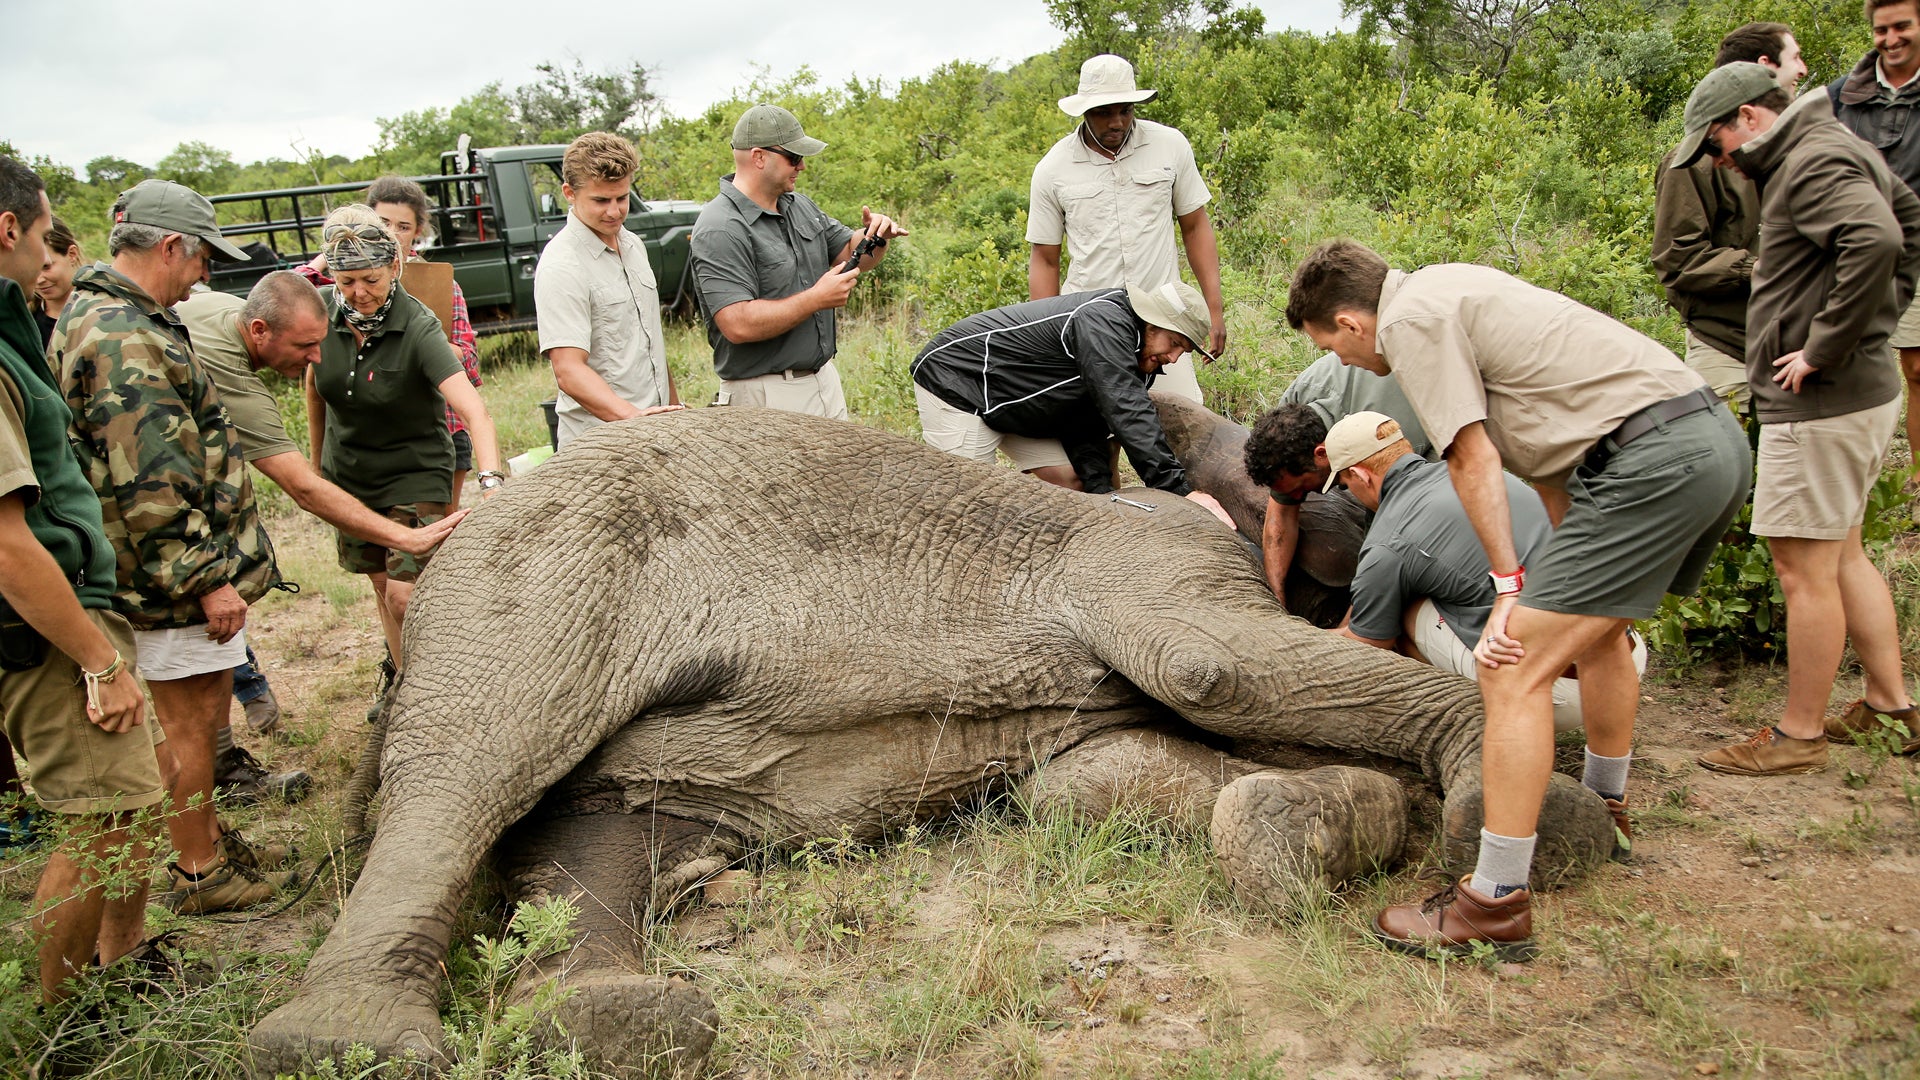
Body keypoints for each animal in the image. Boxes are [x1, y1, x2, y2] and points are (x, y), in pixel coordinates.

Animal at [248, 406, 1613, 1076]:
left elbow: (1095, 780)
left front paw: (1317, 823)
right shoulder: (1154, 557)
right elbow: (1209, 664)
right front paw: (1530, 820)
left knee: (593, 836)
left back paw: (610, 1023)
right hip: (542, 570)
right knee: (476, 757)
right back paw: (349, 1045)